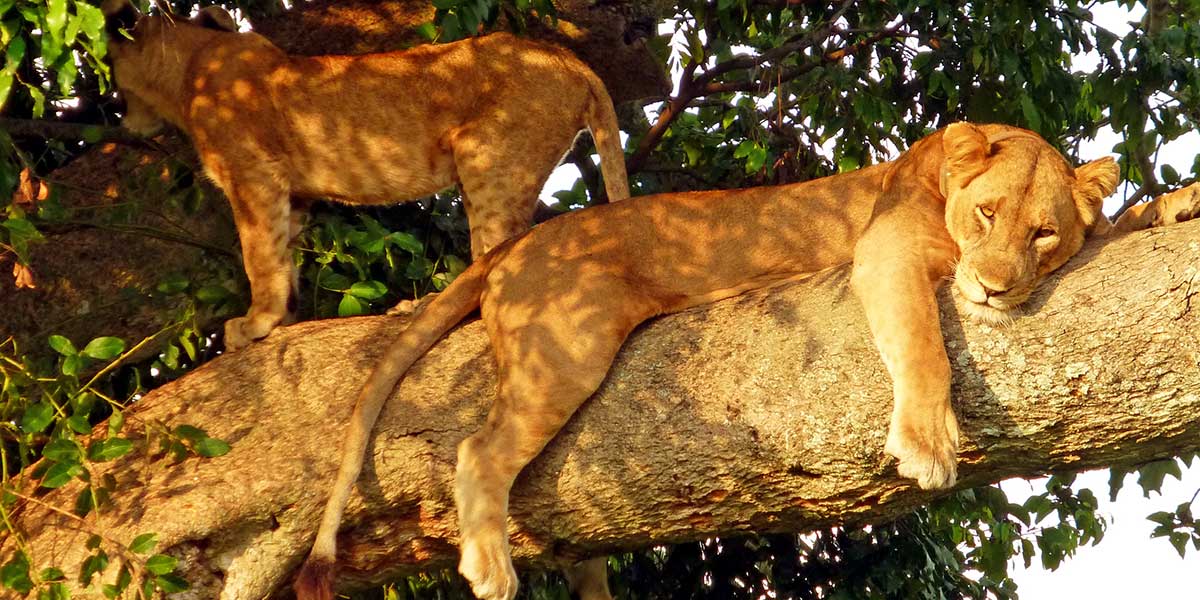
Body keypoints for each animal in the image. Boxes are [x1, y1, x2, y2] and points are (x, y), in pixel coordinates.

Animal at [101, 1, 629, 351]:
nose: (121, 119)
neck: (191, 60)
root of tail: (571, 60)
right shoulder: (293, 193)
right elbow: (284, 256)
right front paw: (285, 318)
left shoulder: (253, 174)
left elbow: (259, 257)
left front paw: (256, 323)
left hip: (486, 156)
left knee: (495, 256)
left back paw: (424, 306)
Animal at [294, 122, 1199, 600]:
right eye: (986, 214)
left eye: (1042, 233)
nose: (995, 287)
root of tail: (518, 243)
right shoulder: (886, 252)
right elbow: (921, 343)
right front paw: (927, 443)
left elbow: (1116, 224)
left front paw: (1172, 205)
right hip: (567, 343)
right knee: (480, 449)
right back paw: (490, 566)